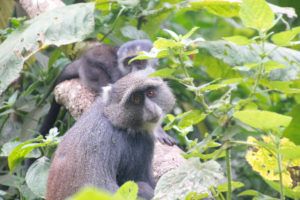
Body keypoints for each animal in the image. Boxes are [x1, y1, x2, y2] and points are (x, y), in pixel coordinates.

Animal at [39, 39, 176, 145]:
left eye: (140, 61)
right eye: (128, 63)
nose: (135, 71)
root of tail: (81, 61)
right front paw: (157, 131)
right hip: (90, 70)